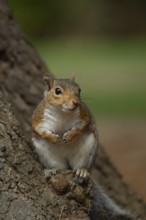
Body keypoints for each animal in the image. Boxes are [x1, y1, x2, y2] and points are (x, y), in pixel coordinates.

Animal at [31, 75, 142, 220]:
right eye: (57, 91)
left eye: (79, 89)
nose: (76, 103)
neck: (62, 113)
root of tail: (67, 164)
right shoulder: (39, 117)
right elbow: (40, 130)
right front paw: (53, 137)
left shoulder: (84, 115)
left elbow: (82, 126)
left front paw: (70, 135)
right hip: (45, 152)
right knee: (59, 167)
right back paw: (52, 170)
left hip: (88, 148)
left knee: (80, 165)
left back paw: (82, 171)